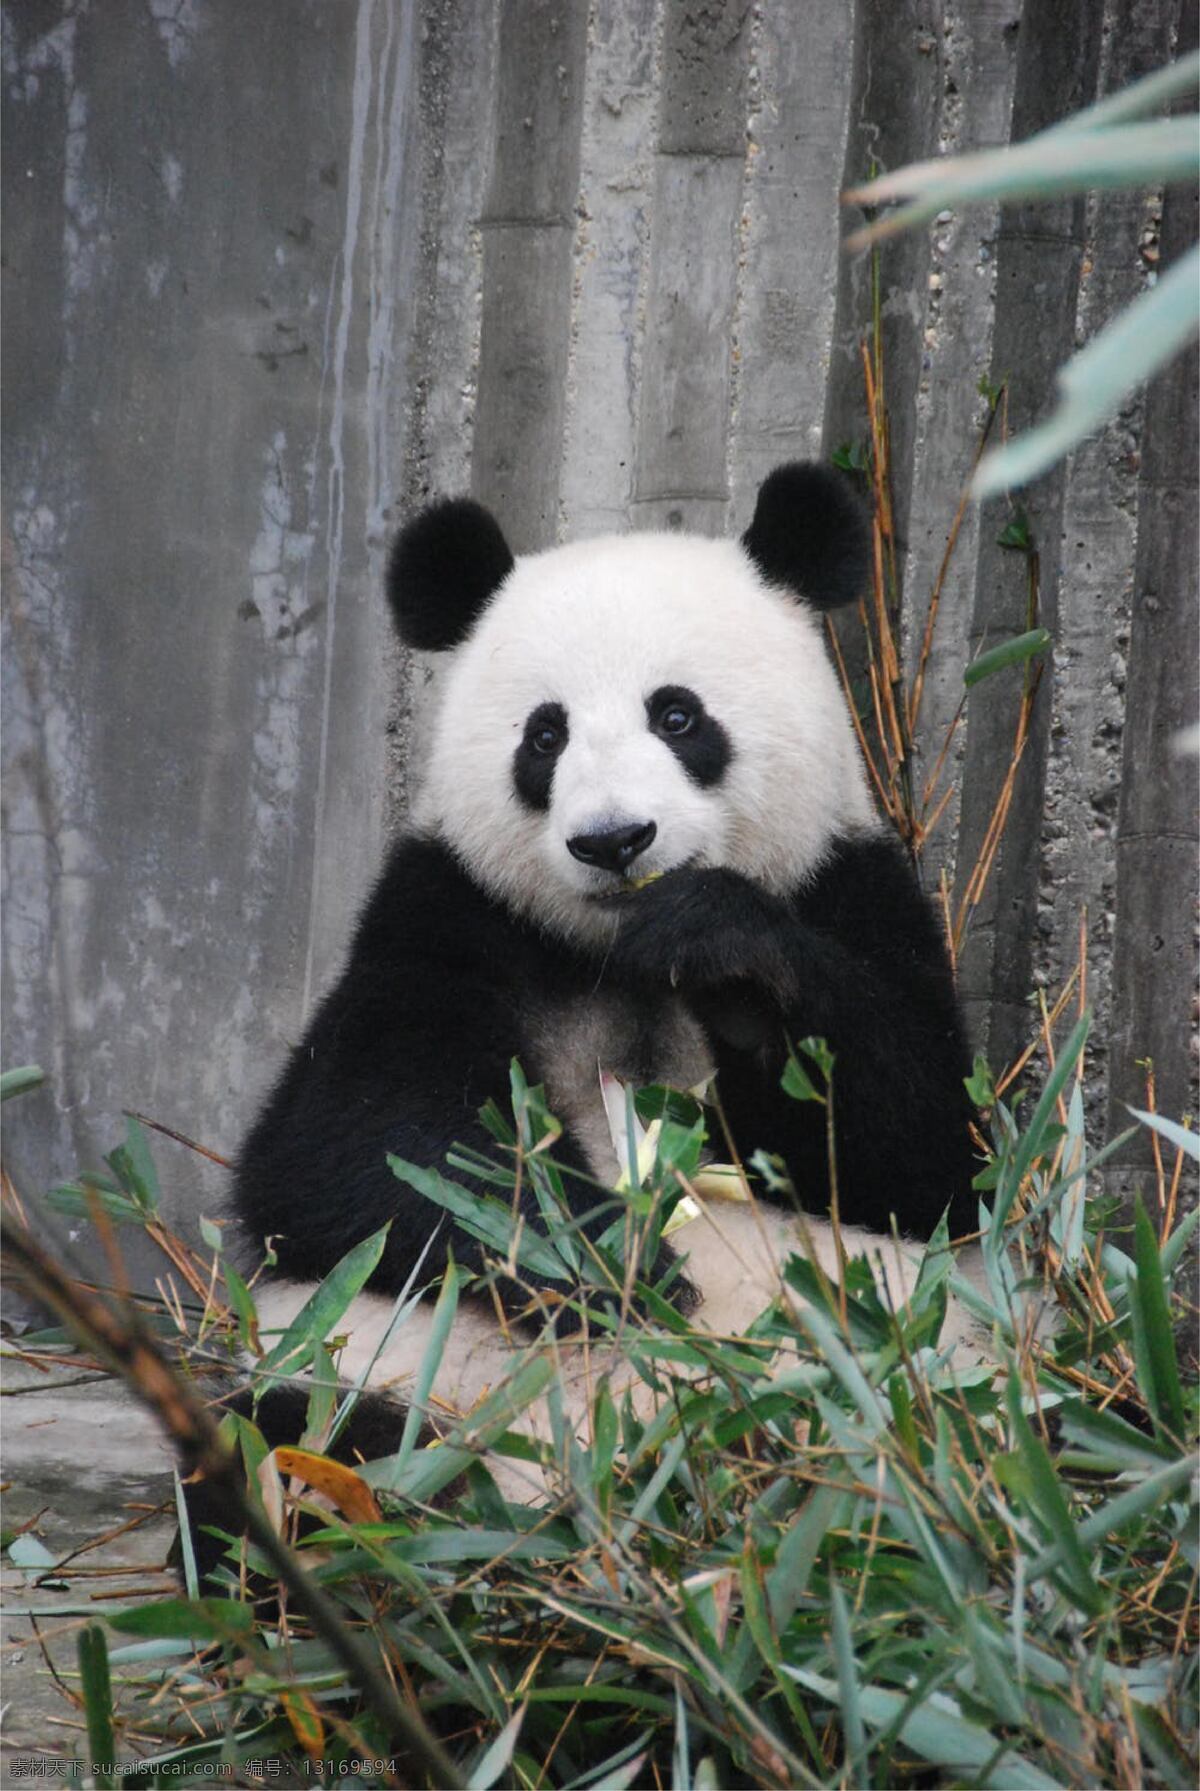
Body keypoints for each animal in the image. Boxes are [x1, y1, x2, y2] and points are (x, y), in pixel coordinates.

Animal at [216, 458, 988, 1511]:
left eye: (678, 714)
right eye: (545, 735)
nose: (614, 840)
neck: (616, 951)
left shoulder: (848, 885)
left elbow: (928, 1153)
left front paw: (725, 953)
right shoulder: (445, 915)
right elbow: (347, 1152)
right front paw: (615, 1262)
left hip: (918, 1385)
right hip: (367, 1371)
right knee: (287, 1447)